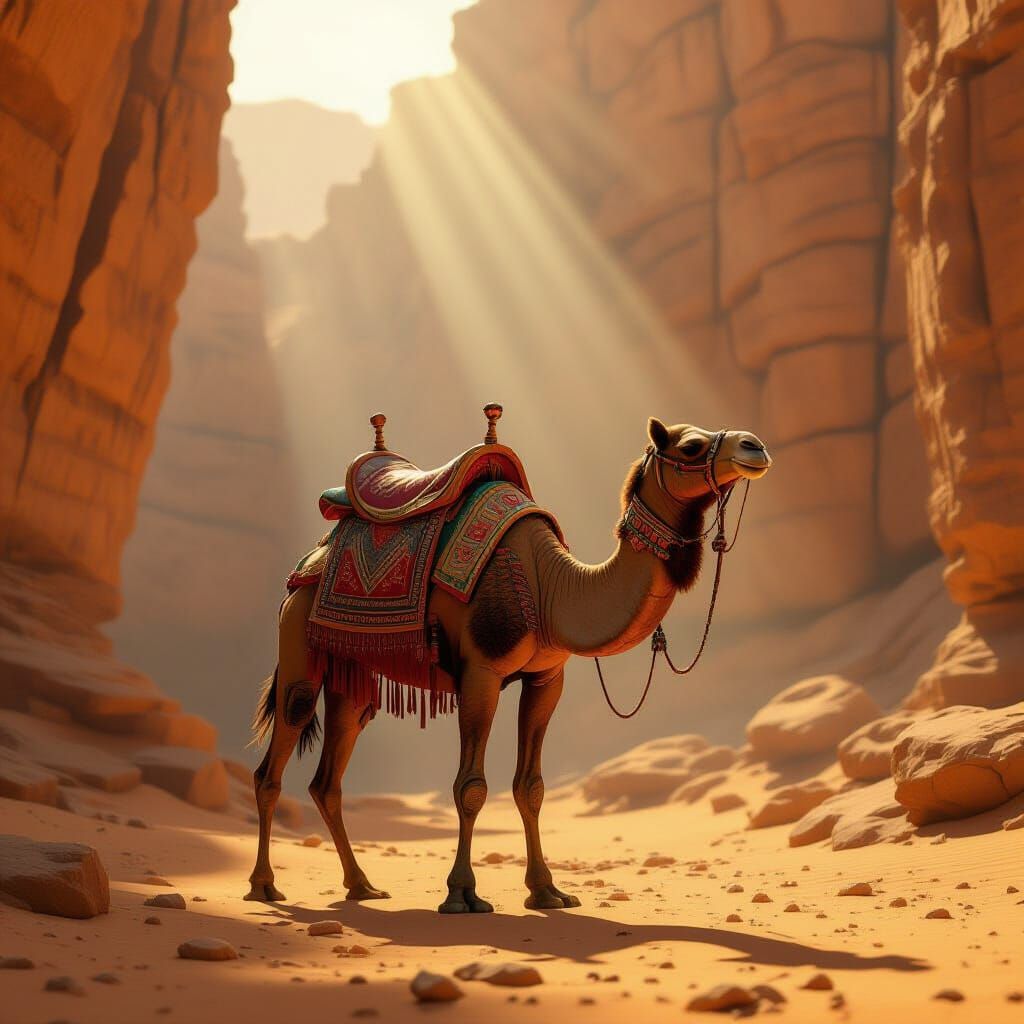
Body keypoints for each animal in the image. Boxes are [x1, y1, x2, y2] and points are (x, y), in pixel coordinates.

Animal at [246, 417, 771, 913]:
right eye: (691, 447)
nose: (755, 446)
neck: (549, 586)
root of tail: (315, 554)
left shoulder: (547, 677)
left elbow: (531, 787)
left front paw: (547, 891)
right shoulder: (482, 672)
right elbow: (471, 787)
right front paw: (462, 894)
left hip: (350, 670)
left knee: (330, 774)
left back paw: (362, 886)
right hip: (298, 642)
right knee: (275, 758)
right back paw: (264, 886)